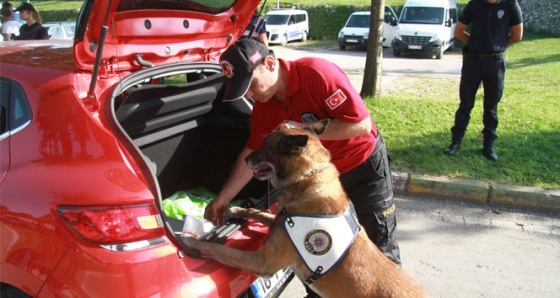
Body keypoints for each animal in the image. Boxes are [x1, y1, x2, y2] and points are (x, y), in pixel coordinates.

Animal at [184, 120, 428, 296]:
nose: (245, 159)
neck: (308, 179)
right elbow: (258, 212)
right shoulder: (280, 219)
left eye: (265, 145)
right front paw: (233, 210)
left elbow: (221, 249)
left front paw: (192, 242)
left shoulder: (262, 261)